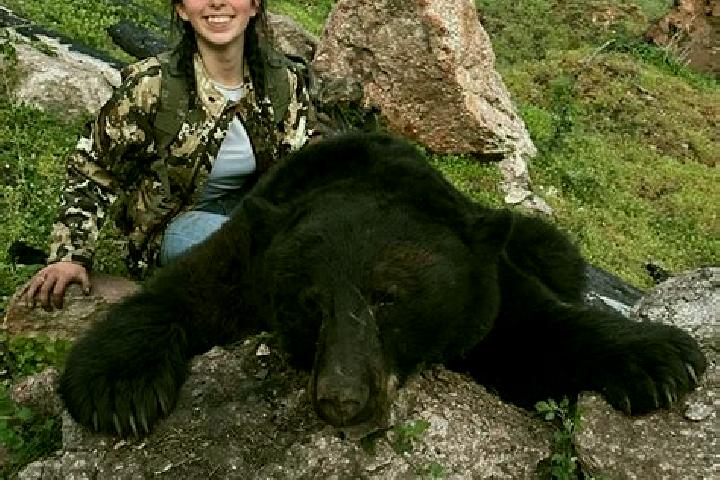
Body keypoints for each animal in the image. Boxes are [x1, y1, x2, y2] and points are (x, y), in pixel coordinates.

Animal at [58, 132, 707, 436]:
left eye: (388, 299)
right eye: (309, 305)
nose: (342, 399)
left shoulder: (483, 281)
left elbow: (535, 331)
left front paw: (659, 358)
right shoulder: (250, 248)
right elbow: (181, 293)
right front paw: (119, 391)